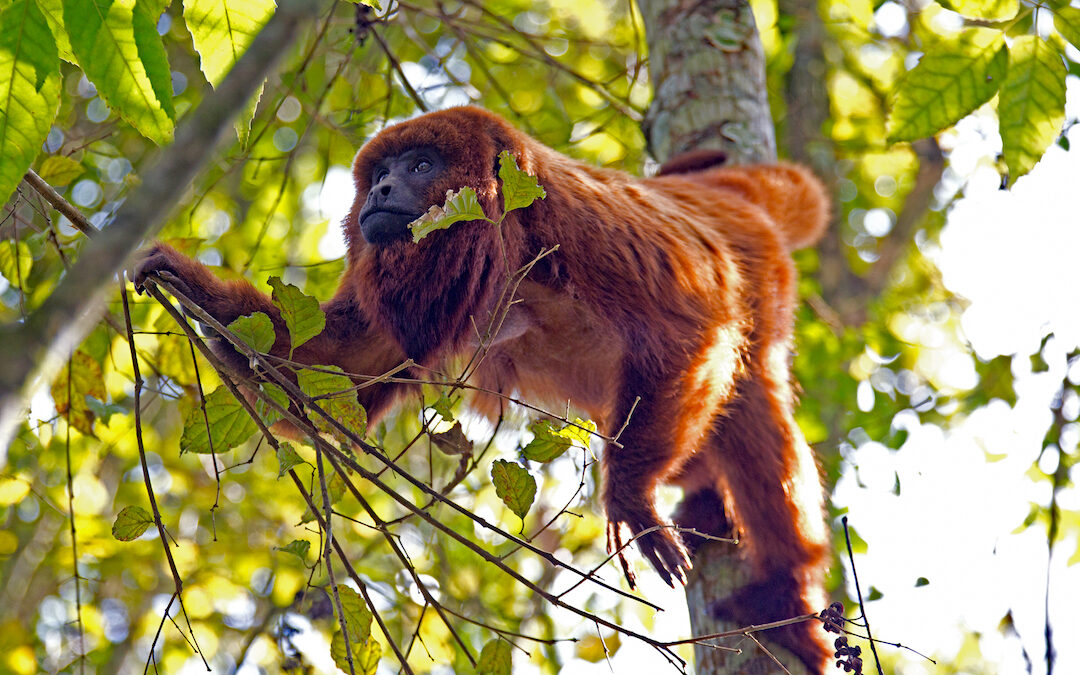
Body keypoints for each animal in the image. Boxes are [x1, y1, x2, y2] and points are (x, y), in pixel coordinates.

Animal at [132, 105, 825, 669]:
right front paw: (195, 285)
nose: (381, 188)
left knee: (748, 399)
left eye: (420, 164)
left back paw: (782, 589)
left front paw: (630, 497)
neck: (504, 235)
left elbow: (691, 327)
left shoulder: (575, 223)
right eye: (383, 170)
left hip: (760, 266)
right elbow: (334, 374)